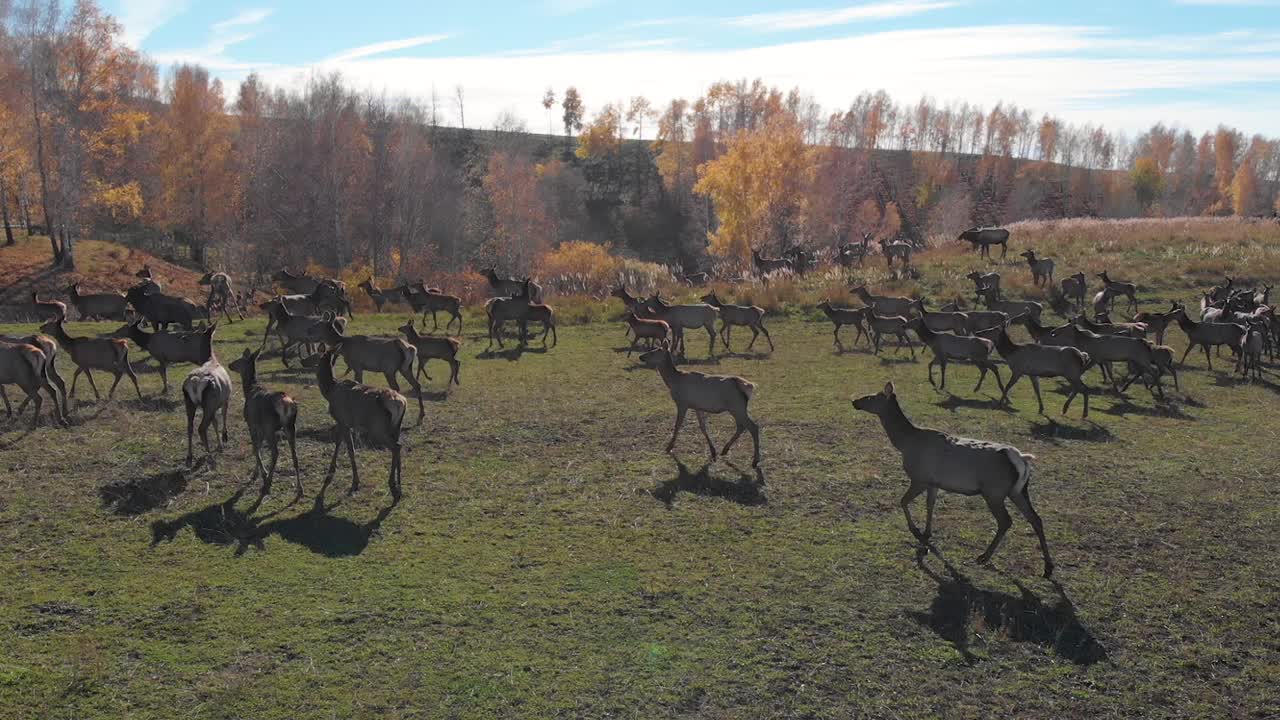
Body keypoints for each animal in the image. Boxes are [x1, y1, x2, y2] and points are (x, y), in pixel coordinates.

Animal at [180, 324, 230, 466]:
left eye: (195, 333)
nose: (183, 337)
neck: (211, 359)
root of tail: (194, 381)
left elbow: (215, 422)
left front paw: (220, 445)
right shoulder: (225, 399)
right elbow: (223, 416)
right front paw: (224, 438)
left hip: (189, 401)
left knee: (190, 426)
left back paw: (189, 456)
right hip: (209, 402)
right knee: (201, 428)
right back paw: (210, 457)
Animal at [227, 348, 302, 499]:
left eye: (239, 360)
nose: (229, 365)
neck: (249, 389)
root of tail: (286, 404)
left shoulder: (251, 423)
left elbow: (255, 448)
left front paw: (262, 474)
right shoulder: (260, 427)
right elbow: (258, 447)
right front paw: (256, 473)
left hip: (270, 427)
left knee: (275, 452)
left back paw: (267, 483)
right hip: (291, 426)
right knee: (295, 455)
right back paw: (300, 489)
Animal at [314, 345, 404, 499]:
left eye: (316, 358)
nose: (305, 363)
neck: (329, 391)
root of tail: (400, 403)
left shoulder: (343, 421)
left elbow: (350, 450)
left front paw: (355, 482)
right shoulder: (343, 422)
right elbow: (339, 443)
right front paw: (332, 471)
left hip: (378, 428)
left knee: (396, 447)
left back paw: (392, 483)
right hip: (396, 427)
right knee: (399, 445)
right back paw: (399, 483)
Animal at [849, 381, 1049, 576]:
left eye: (871, 397)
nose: (854, 402)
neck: (905, 444)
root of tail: (1021, 459)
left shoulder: (920, 478)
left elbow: (903, 501)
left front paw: (916, 531)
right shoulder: (934, 482)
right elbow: (930, 506)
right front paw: (927, 534)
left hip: (994, 491)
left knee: (1006, 521)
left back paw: (984, 557)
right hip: (1018, 490)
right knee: (1036, 518)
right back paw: (1048, 568)